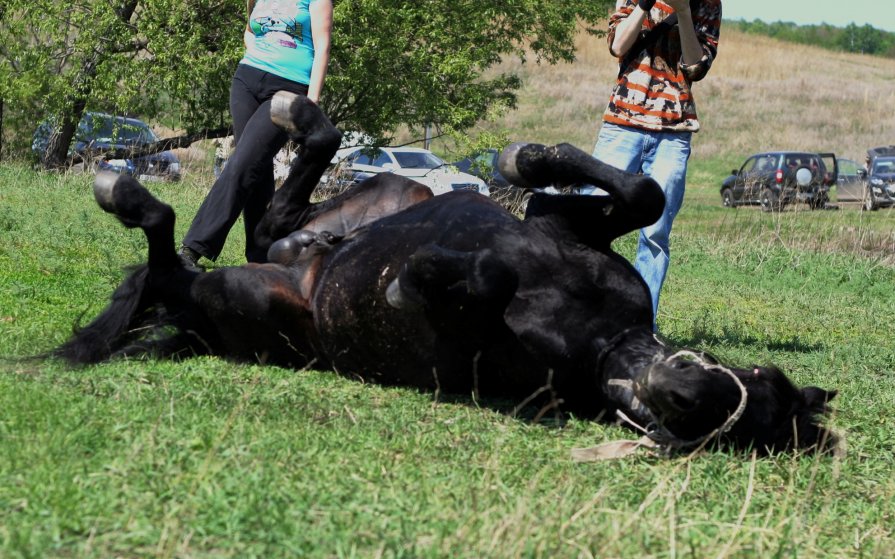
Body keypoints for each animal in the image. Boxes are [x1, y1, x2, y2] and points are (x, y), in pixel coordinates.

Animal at [56, 92, 840, 458]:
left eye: (721, 426)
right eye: (762, 379)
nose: (676, 385)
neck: (600, 335)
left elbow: (481, 280)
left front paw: (421, 274)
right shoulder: (565, 225)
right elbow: (638, 193)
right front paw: (525, 159)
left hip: (250, 300)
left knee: (175, 270)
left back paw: (129, 196)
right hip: (386, 195)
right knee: (275, 216)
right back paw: (299, 121)